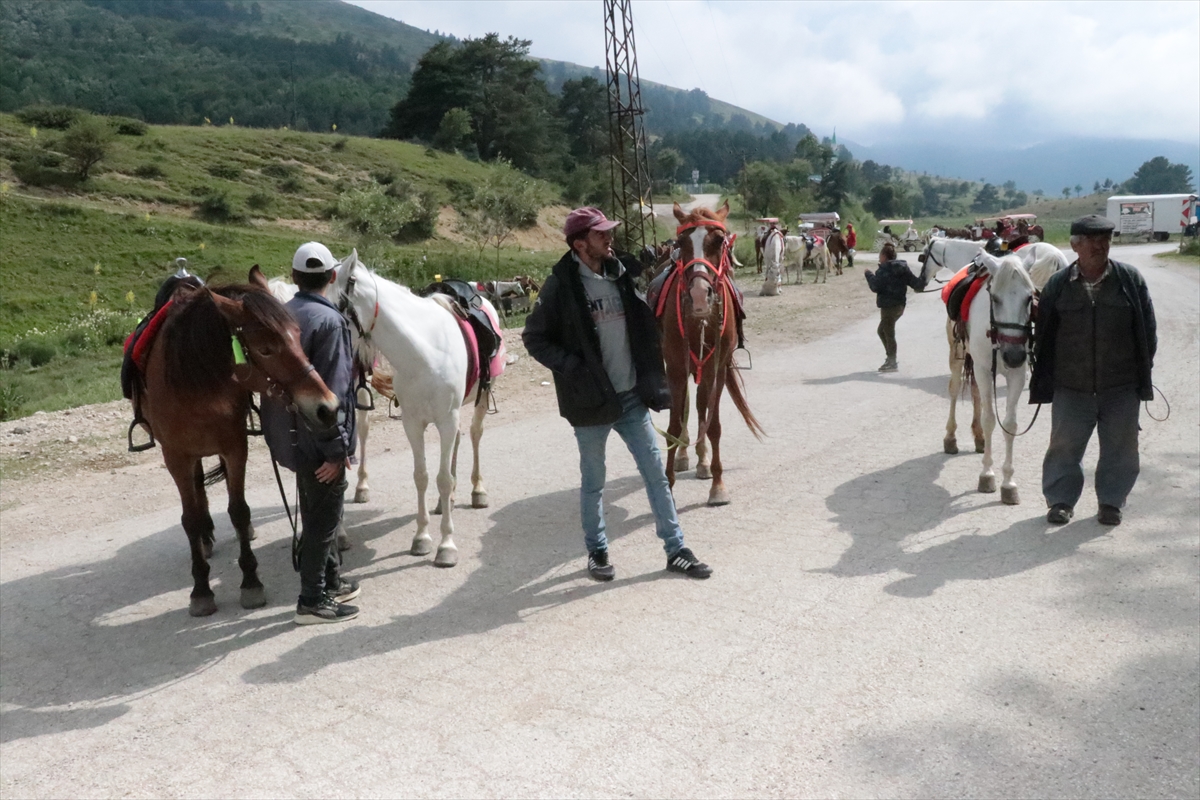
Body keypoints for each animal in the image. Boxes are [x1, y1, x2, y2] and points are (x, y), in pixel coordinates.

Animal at [134, 266, 340, 618]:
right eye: (265, 348)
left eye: (298, 335)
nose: (326, 406)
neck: (194, 383)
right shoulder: (175, 456)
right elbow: (189, 519)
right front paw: (201, 589)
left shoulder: (234, 446)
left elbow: (239, 510)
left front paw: (251, 581)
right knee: (197, 491)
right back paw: (205, 538)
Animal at [326, 253, 504, 566]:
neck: (423, 353)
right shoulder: (412, 423)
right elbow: (421, 476)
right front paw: (422, 538)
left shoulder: (446, 419)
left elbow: (442, 478)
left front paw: (446, 545)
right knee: (459, 440)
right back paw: (446, 501)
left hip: (481, 398)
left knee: (474, 434)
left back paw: (477, 490)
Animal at [662, 203, 763, 503]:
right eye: (681, 243)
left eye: (719, 241)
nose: (699, 295)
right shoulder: (674, 366)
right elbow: (673, 424)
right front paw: (668, 483)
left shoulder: (717, 367)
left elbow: (714, 424)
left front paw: (718, 485)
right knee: (687, 406)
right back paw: (685, 455)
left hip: (704, 368)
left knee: (700, 406)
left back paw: (702, 462)